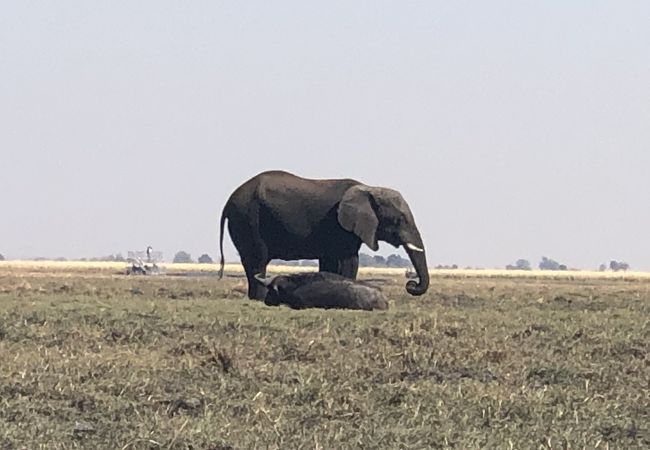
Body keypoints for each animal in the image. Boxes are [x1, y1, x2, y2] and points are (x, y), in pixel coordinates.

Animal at [219, 171, 430, 300]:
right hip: (248, 219)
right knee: (258, 260)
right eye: (398, 220)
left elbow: (330, 263)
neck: (369, 188)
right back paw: (259, 299)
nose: (411, 285)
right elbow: (349, 261)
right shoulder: (341, 226)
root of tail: (228, 201)